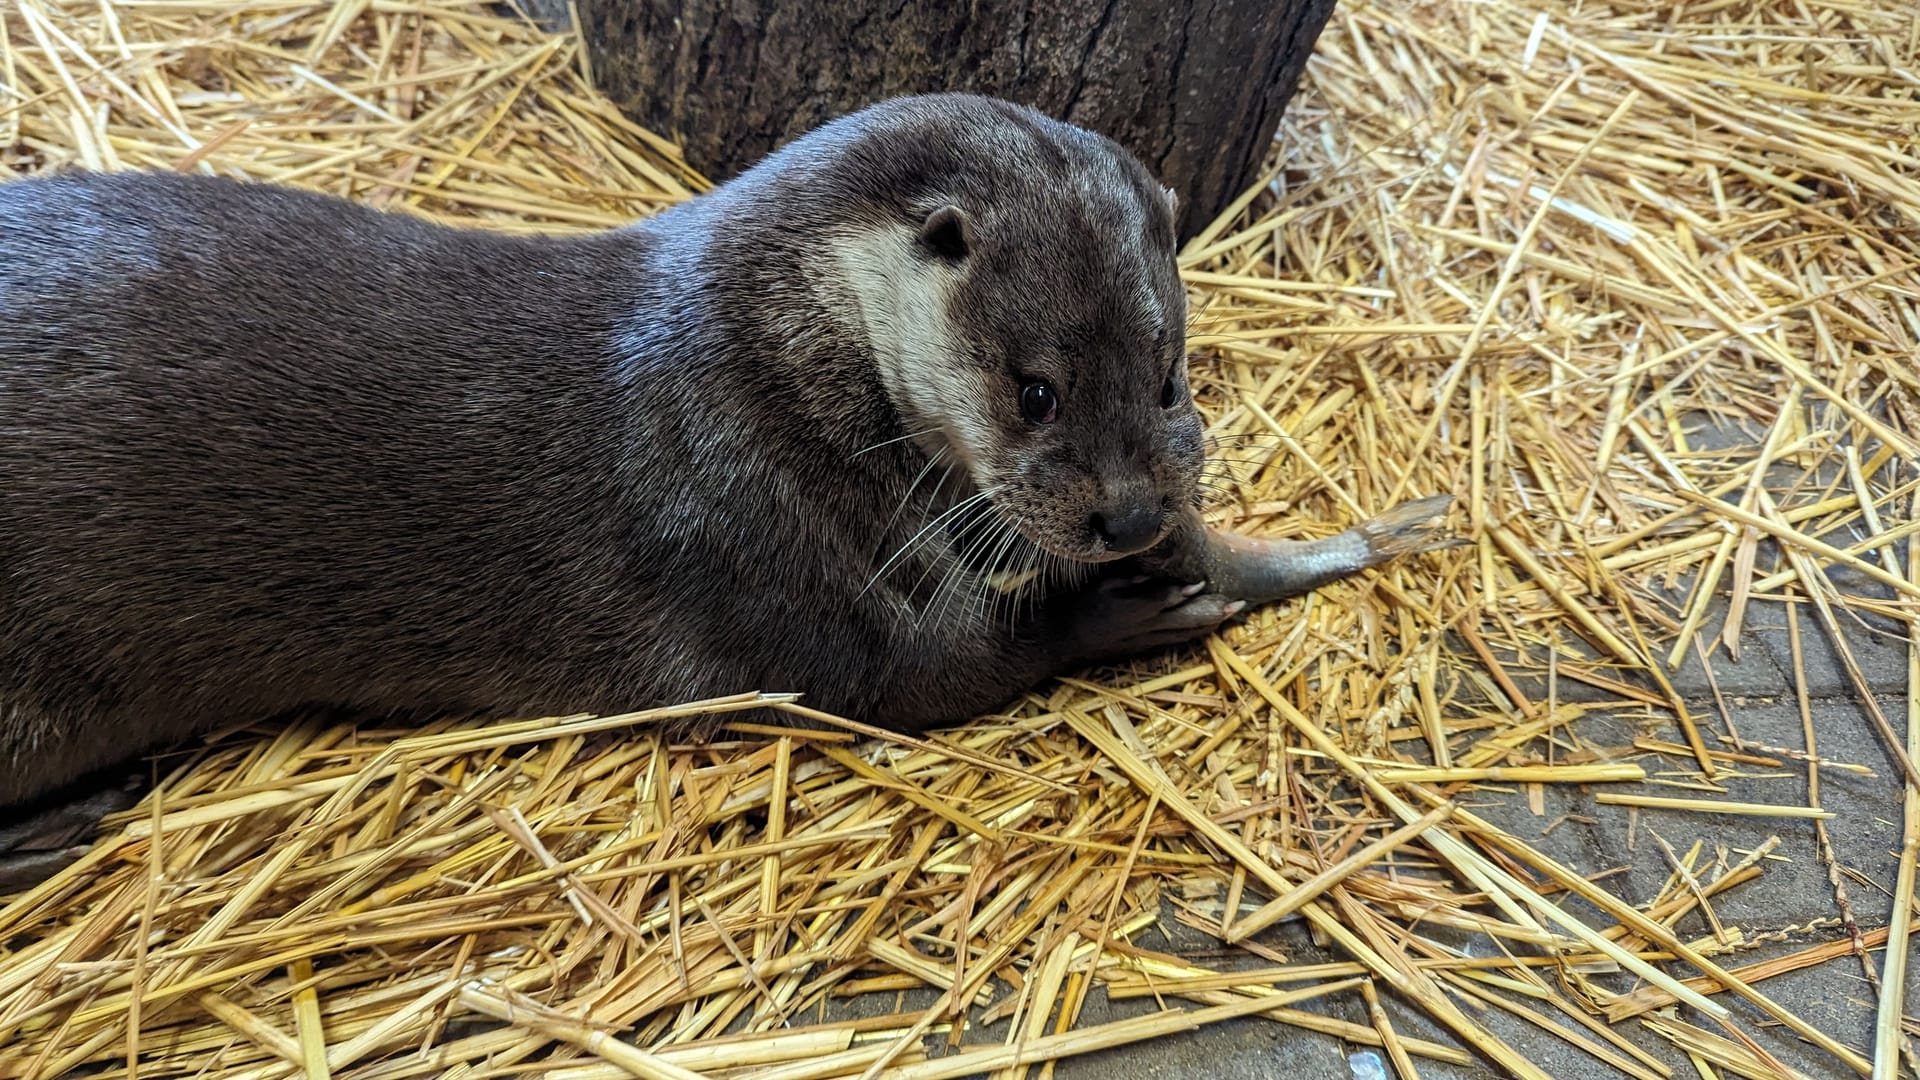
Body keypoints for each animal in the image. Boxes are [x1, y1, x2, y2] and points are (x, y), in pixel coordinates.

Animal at [0, 92, 1443, 883]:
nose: (1135, 515)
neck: (758, 354)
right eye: (1033, 389)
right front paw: (1130, 602)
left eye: (1169, 371)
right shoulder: (735, 517)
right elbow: (929, 675)